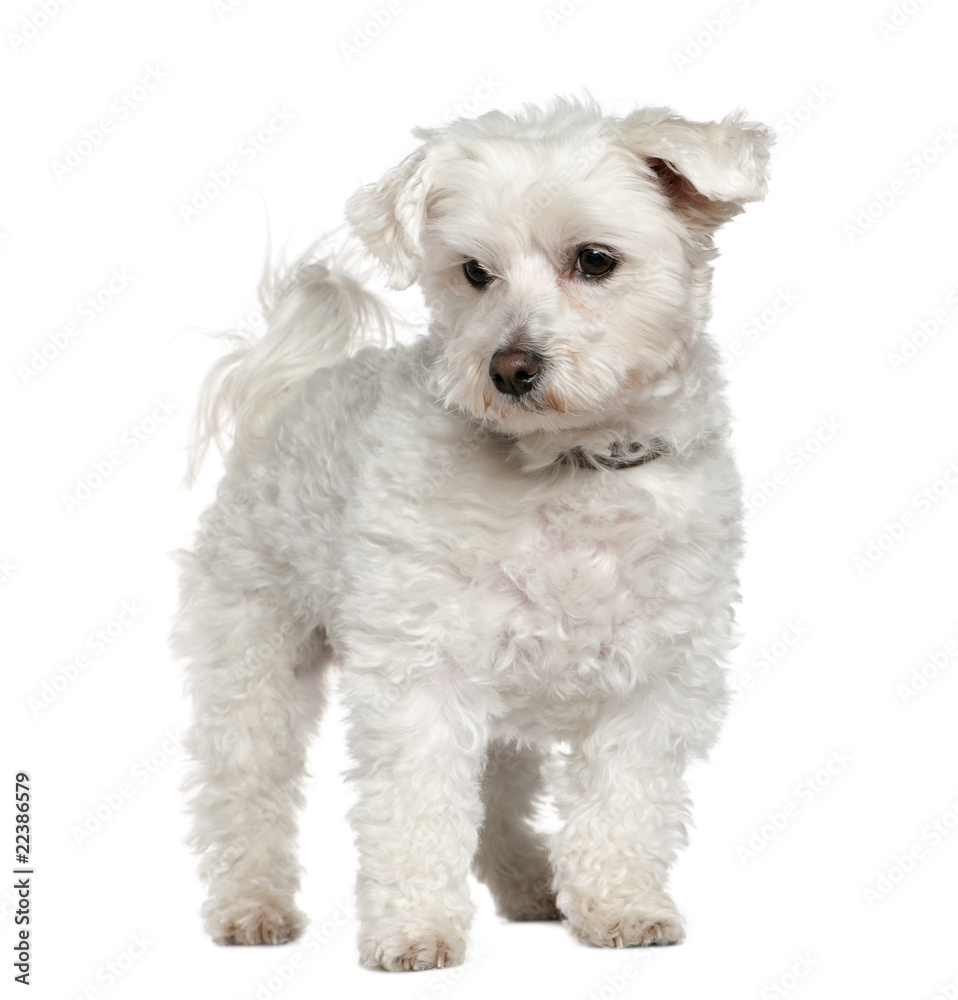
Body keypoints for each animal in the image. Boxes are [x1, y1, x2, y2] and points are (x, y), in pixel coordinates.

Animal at [172, 97, 772, 972]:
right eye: (474, 273)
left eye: (595, 260)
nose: (509, 367)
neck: (563, 468)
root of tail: (281, 397)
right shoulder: (421, 674)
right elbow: (416, 808)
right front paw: (413, 931)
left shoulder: (652, 678)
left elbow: (624, 802)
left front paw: (621, 907)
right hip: (253, 654)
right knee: (246, 785)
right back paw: (252, 906)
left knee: (499, 798)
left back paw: (530, 884)